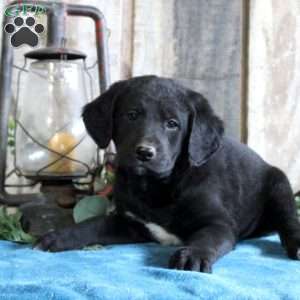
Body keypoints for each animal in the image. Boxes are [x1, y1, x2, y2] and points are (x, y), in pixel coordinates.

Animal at [37, 76, 300, 274]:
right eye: (131, 115)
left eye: (172, 124)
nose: (145, 152)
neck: (156, 187)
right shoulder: (130, 223)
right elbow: (96, 224)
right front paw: (60, 236)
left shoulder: (218, 224)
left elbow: (206, 239)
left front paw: (192, 256)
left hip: (280, 186)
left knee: (289, 219)